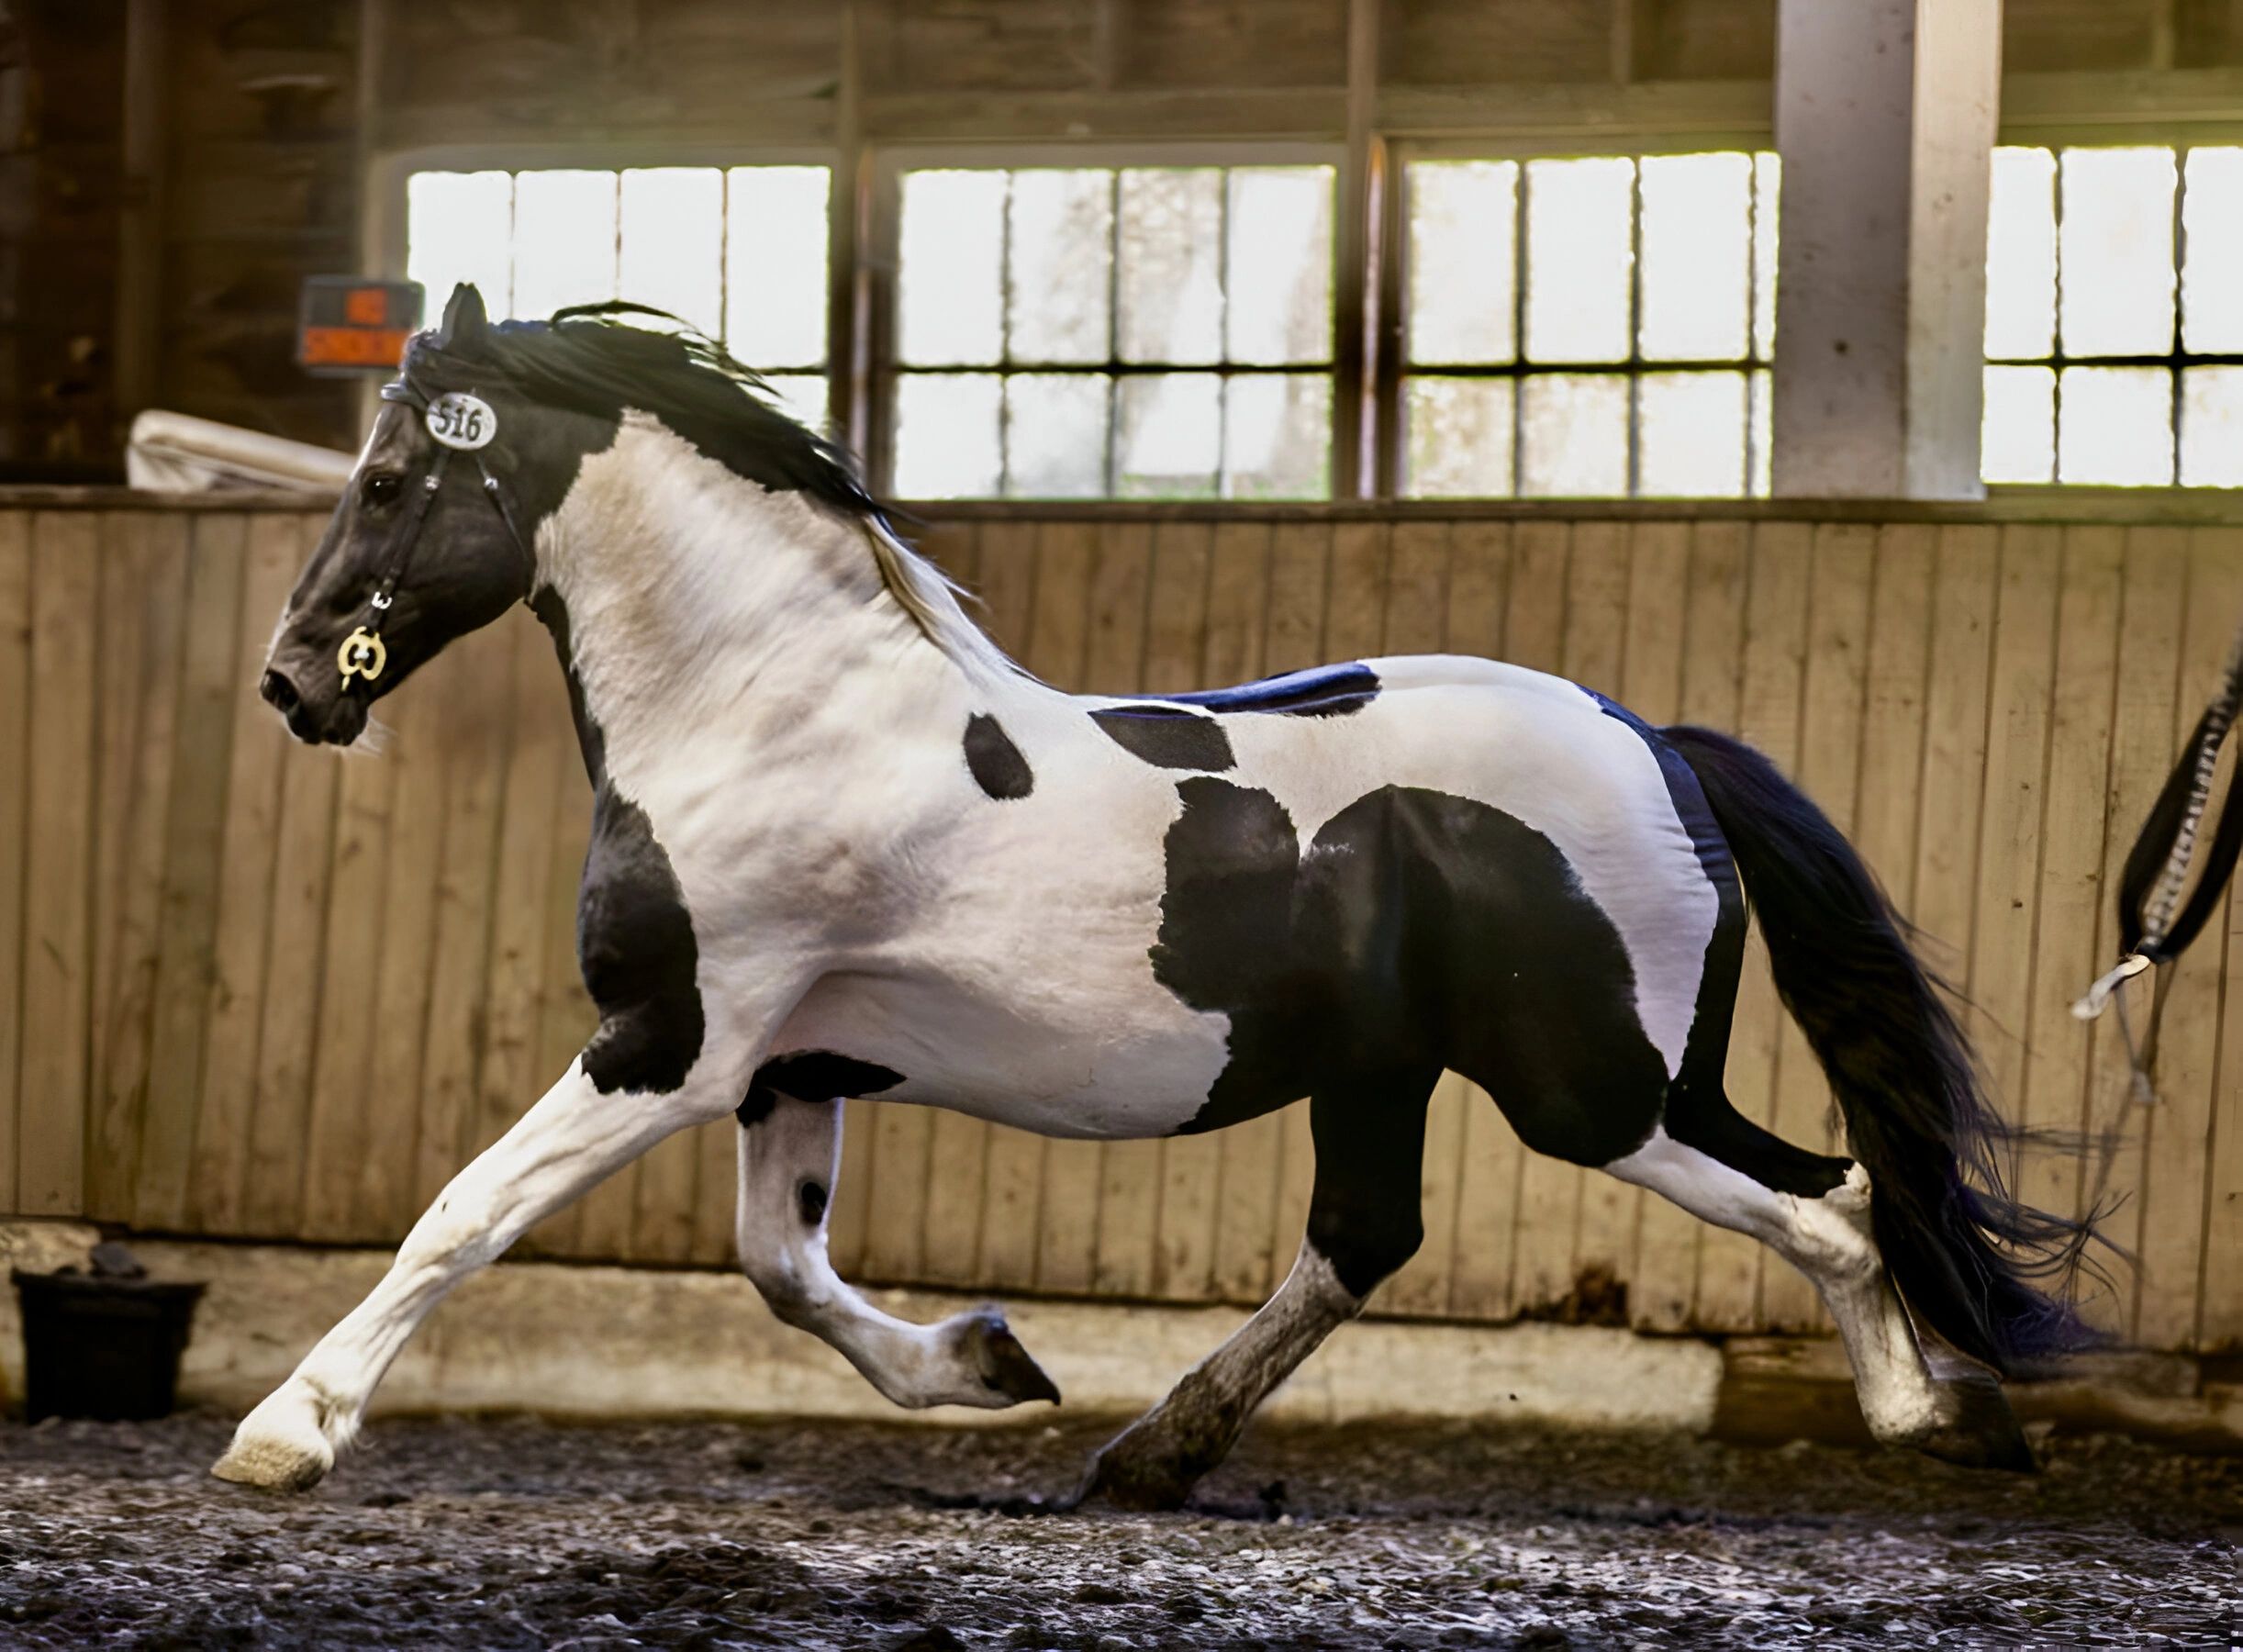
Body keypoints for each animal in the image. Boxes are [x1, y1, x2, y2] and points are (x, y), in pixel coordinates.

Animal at [217, 283, 2098, 1507]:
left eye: (383, 480)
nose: (294, 685)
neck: (770, 706)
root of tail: (1655, 742)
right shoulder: (788, 1066)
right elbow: (780, 1268)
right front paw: (983, 1367)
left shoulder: (670, 1043)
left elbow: (465, 1210)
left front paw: (286, 1434)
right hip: (1395, 1069)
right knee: (1366, 1239)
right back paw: (1152, 1450)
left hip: (1592, 1089)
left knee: (1831, 1200)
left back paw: (1930, 1422)